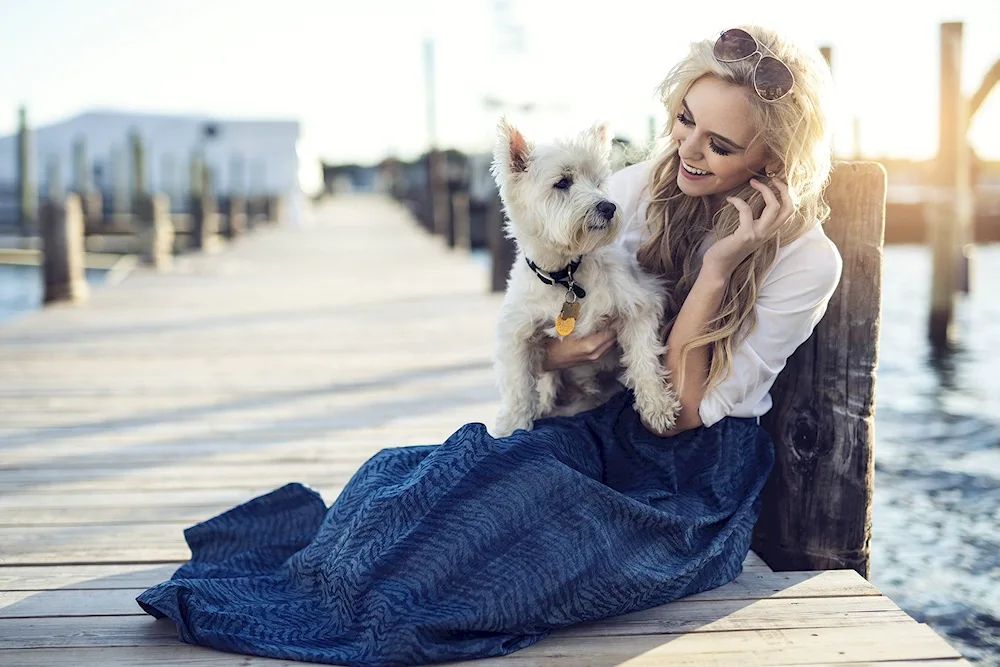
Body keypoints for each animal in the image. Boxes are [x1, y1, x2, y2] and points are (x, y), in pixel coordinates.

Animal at [490, 118, 684, 438]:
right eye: (562, 182)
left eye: (597, 182)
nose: (608, 207)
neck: (565, 274)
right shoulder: (517, 332)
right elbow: (518, 386)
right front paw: (512, 427)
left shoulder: (640, 304)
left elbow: (644, 357)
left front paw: (658, 407)